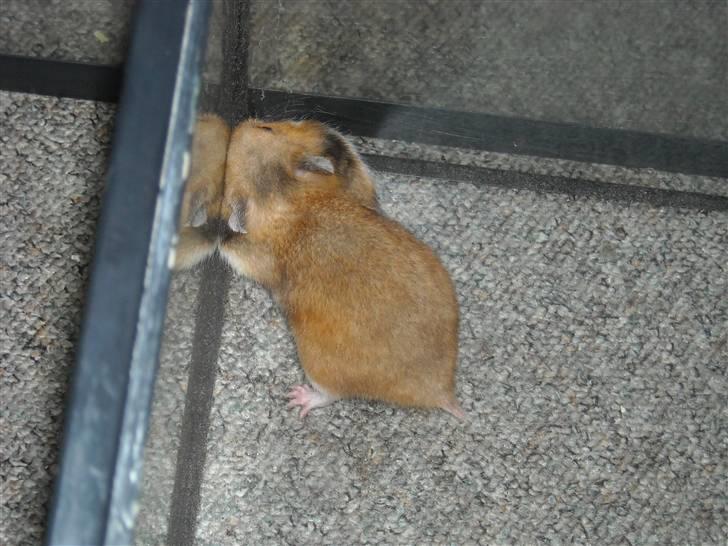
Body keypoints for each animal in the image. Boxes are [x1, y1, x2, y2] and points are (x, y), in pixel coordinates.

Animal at [219, 119, 463, 418]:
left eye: (265, 128)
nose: (239, 123)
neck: (284, 196)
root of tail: (440, 392)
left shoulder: (252, 257)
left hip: (317, 364)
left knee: (332, 395)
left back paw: (298, 398)